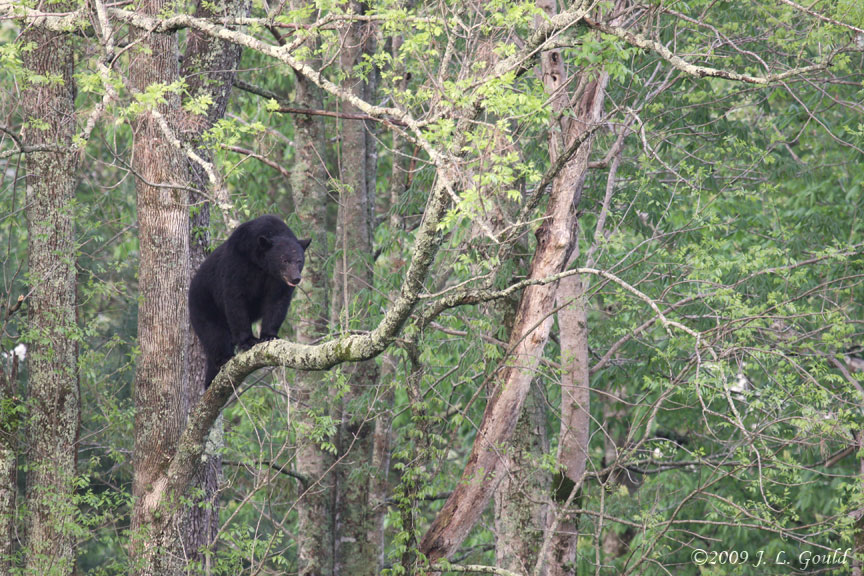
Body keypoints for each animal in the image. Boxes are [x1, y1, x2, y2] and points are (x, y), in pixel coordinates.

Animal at [189, 215, 310, 388]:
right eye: (284, 260)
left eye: (299, 260)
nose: (295, 278)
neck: (262, 265)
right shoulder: (238, 262)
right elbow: (235, 299)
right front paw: (248, 340)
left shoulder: (277, 281)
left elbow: (277, 302)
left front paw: (269, 335)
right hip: (204, 304)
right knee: (214, 334)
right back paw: (222, 361)